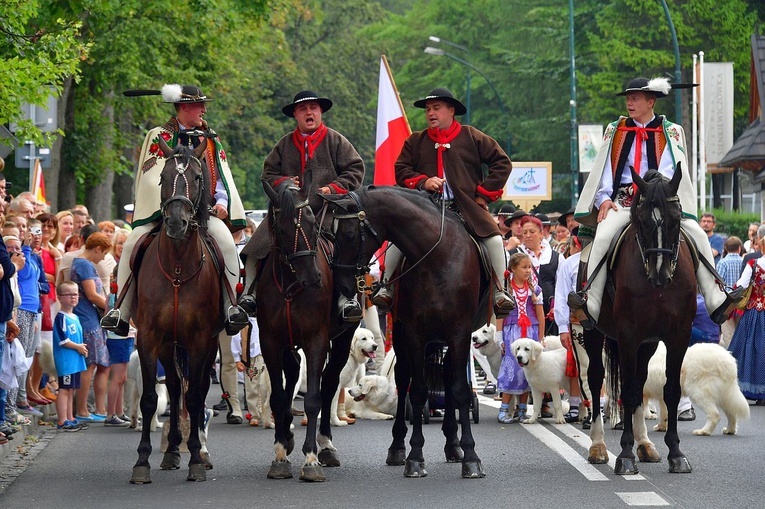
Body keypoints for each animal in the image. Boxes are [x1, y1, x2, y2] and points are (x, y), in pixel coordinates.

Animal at [130, 137, 221, 482]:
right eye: (162, 177)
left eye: (196, 177)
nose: (175, 222)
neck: (179, 268)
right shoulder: (148, 338)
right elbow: (150, 399)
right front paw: (142, 462)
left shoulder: (199, 341)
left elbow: (195, 398)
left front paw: (195, 458)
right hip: (168, 346)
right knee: (172, 385)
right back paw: (170, 451)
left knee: (197, 390)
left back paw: (198, 452)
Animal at [254, 181, 356, 482]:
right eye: (282, 229)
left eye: (312, 225)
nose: (313, 278)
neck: (291, 284)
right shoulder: (271, 341)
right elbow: (278, 396)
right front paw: (280, 452)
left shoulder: (316, 341)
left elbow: (313, 398)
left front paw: (311, 458)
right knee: (291, 374)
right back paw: (287, 434)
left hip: (343, 340)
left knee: (330, 383)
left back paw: (326, 445)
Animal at [322, 186, 490, 476]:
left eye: (349, 234)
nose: (342, 285)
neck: (438, 256)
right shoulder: (414, 332)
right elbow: (418, 390)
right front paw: (414, 456)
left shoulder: (460, 332)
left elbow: (459, 390)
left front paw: (470, 455)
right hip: (401, 335)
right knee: (403, 379)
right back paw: (398, 447)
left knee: (448, 377)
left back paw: (453, 444)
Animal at [580, 168, 696, 476]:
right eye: (641, 220)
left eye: (676, 217)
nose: (660, 274)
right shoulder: (628, 334)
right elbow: (629, 391)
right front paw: (624, 454)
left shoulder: (677, 336)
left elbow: (670, 390)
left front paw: (676, 453)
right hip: (594, 333)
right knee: (596, 379)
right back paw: (598, 446)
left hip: (648, 343)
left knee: (641, 381)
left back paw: (645, 444)